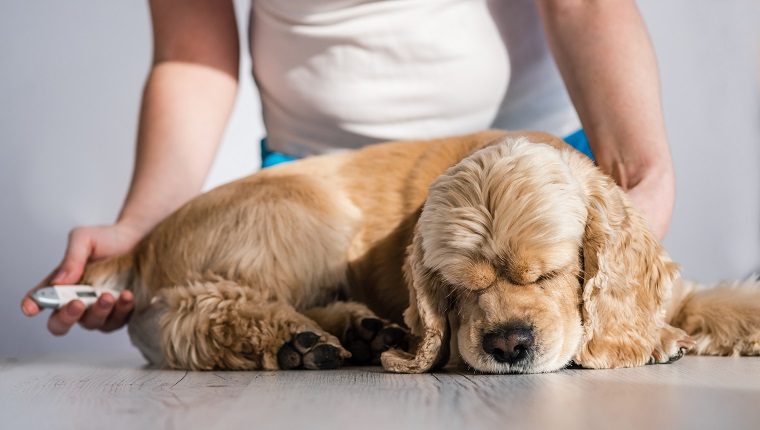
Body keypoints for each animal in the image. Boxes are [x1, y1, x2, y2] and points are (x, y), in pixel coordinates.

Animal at [81, 131, 760, 372]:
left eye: (552, 273)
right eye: (457, 286)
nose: (507, 345)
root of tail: (145, 237)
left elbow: (718, 301)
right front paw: (660, 341)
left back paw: (358, 332)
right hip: (308, 221)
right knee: (200, 311)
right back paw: (292, 340)